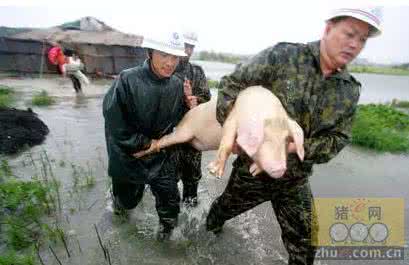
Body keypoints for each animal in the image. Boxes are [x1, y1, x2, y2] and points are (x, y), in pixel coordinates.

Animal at [134, 85, 302, 178]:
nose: (280, 169)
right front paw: (214, 172)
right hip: (183, 131)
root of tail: (189, 113)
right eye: (262, 138)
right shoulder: (231, 120)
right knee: (164, 140)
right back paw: (137, 154)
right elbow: (226, 144)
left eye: (287, 140)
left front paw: (253, 171)